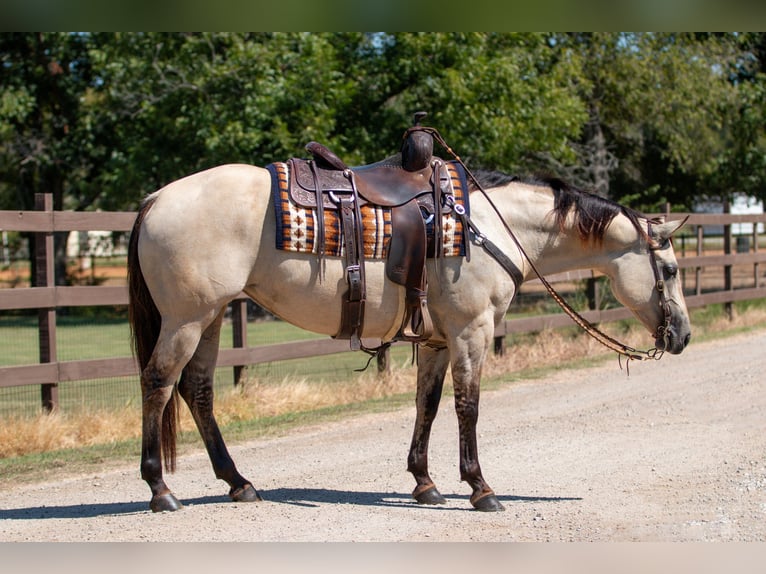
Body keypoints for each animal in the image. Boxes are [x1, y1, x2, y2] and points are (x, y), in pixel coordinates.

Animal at [126, 134, 688, 512]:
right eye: (670, 270)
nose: (681, 336)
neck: (487, 225)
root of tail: (155, 199)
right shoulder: (471, 330)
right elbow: (468, 406)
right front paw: (480, 487)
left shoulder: (438, 338)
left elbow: (429, 405)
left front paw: (425, 483)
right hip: (186, 318)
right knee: (158, 383)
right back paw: (160, 489)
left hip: (212, 316)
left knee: (198, 390)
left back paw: (238, 482)